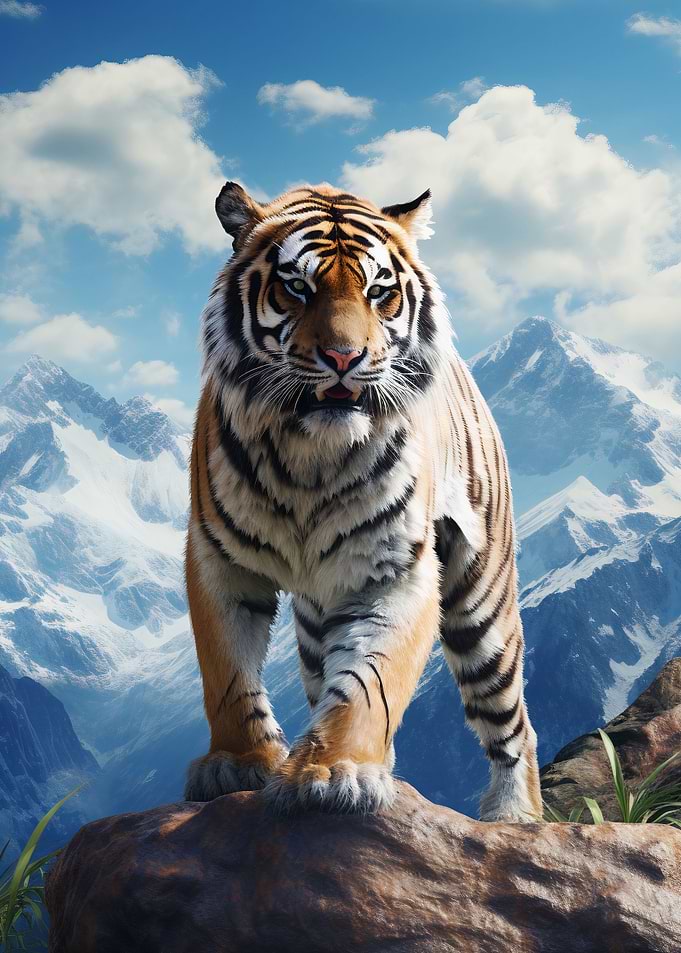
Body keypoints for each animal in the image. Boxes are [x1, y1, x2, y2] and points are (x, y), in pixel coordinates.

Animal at [184, 180, 542, 822]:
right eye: (297, 287)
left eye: (379, 292)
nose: (344, 358)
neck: (308, 456)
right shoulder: (217, 561)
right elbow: (226, 671)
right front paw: (237, 765)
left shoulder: (396, 570)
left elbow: (370, 680)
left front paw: (336, 772)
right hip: (313, 625)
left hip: (483, 607)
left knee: (512, 723)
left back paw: (513, 816)